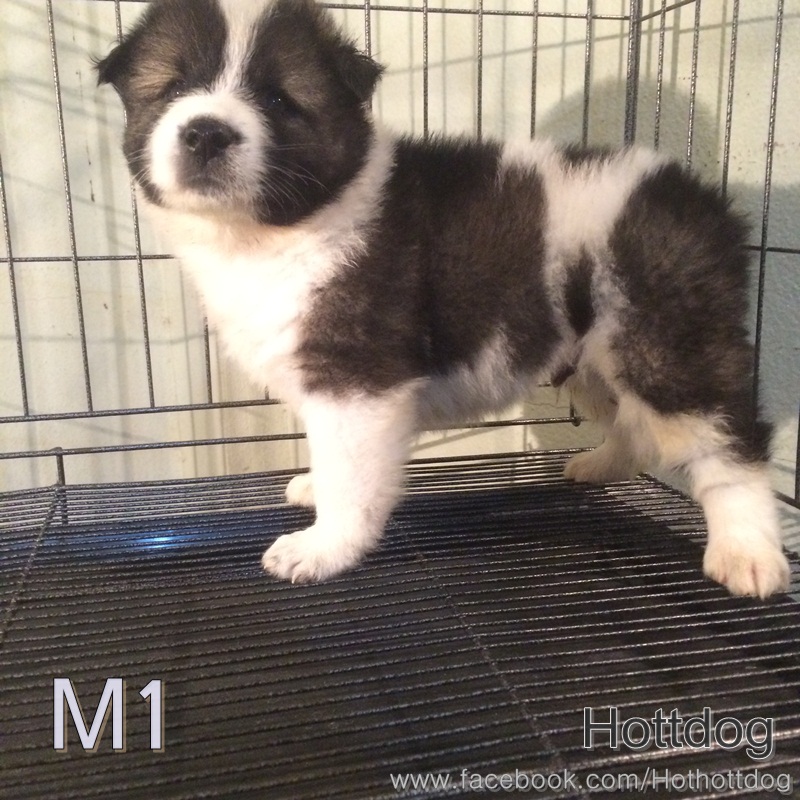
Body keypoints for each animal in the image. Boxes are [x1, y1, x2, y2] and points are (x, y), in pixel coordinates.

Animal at [96, 0, 789, 597]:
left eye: (275, 99)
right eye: (169, 90)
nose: (207, 132)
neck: (277, 229)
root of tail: (704, 200)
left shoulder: (357, 378)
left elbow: (351, 475)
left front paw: (322, 548)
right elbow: (331, 457)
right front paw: (314, 488)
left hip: (666, 339)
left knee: (730, 443)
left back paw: (748, 554)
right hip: (596, 354)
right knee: (634, 424)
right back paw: (598, 465)